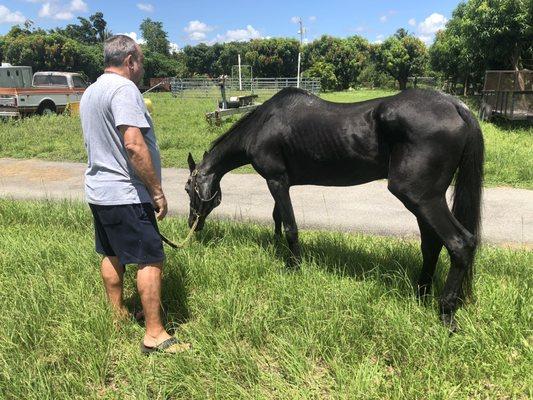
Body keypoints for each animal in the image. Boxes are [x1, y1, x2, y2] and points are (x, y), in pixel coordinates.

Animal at [185, 88, 484, 328]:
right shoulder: (279, 183)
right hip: (425, 200)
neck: (261, 126)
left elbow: (290, 226)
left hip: (419, 196)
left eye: (188, 189)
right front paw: (278, 249)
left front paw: (294, 267)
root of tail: (455, 105)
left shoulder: (277, 180)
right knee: (431, 244)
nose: (192, 225)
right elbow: (277, 218)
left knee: (460, 243)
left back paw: (446, 313)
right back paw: (421, 293)